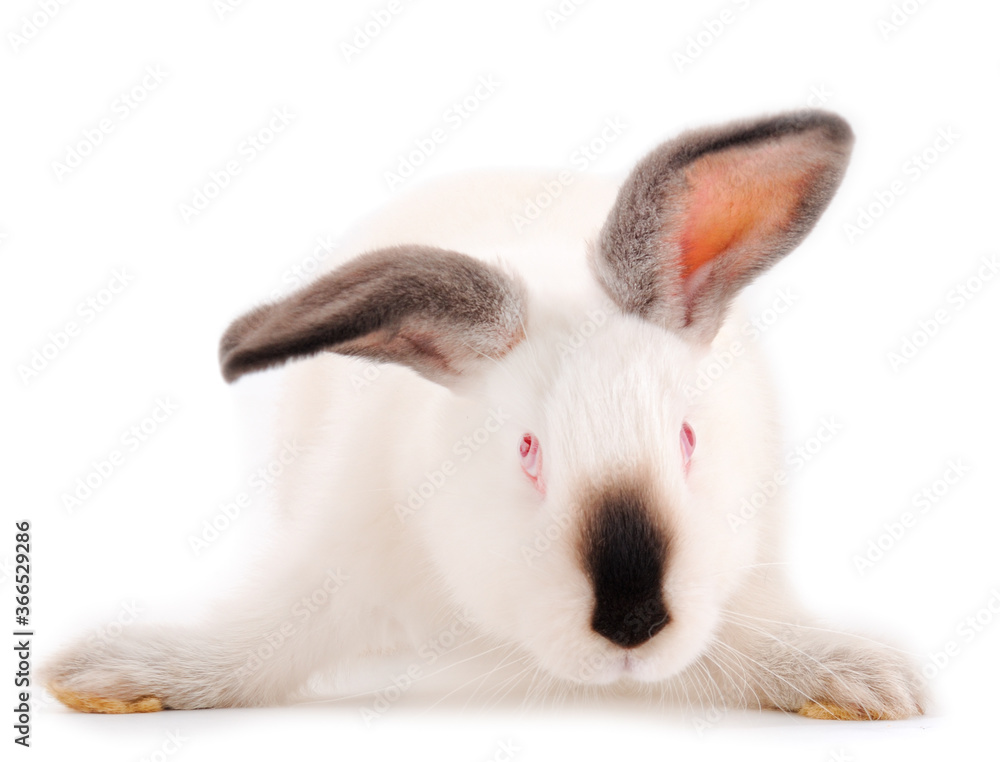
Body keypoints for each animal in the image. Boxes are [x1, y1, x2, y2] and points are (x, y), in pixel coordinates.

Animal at [43, 110, 924, 721]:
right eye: (528, 451)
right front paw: (110, 673)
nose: (633, 620)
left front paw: (862, 678)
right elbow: (259, 643)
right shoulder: (339, 560)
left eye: (687, 439)